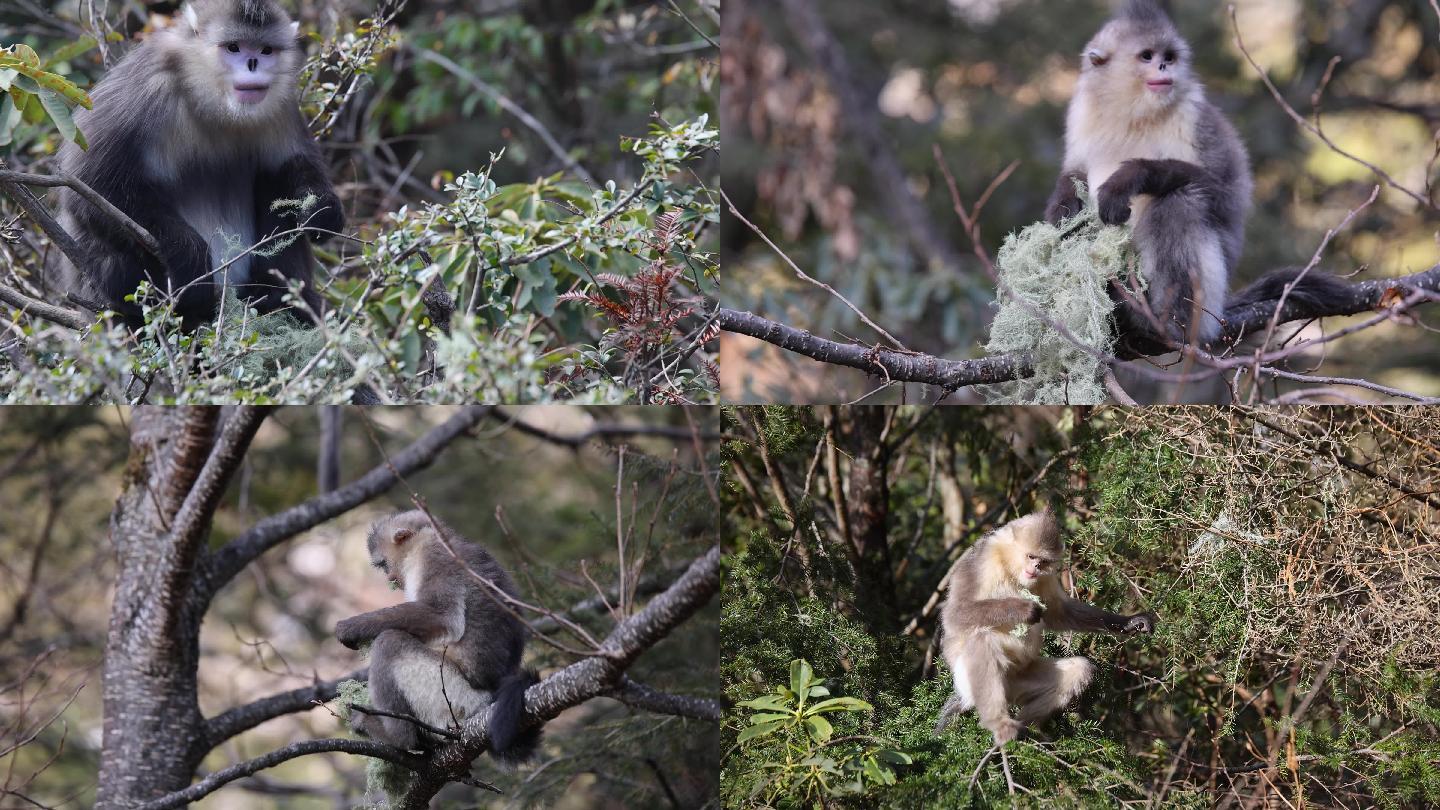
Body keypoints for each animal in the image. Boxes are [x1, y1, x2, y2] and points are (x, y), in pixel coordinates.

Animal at [52, 0, 345, 328]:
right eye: (233, 47)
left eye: (266, 50)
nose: (253, 63)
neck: (209, 101)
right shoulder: (147, 88)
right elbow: (87, 187)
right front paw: (189, 253)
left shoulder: (281, 103)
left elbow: (292, 165)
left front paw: (322, 208)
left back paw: (277, 296)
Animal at [336, 507, 544, 760]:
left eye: (383, 564)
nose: (390, 578)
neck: (432, 537)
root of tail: (487, 698)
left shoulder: (434, 557)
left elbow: (441, 617)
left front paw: (351, 627)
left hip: (452, 696)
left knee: (390, 642)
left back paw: (397, 737)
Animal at [933, 510, 1157, 743]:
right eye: (1031, 557)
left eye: (1043, 561)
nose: (1035, 568)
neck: (1010, 566)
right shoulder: (983, 560)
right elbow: (954, 615)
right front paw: (1022, 609)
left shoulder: (1047, 575)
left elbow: (1059, 612)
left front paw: (1129, 623)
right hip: (968, 681)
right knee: (982, 638)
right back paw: (1000, 724)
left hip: (1017, 680)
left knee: (1078, 670)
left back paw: (1031, 730)